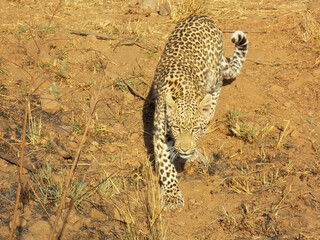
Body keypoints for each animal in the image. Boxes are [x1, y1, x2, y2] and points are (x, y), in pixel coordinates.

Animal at [152, 15, 248, 210]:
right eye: (177, 128)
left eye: (195, 130)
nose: (185, 149)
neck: (185, 93)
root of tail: (203, 17)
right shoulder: (159, 133)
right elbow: (166, 164)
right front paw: (172, 196)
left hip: (215, 73)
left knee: (217, 86)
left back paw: (210, 107)